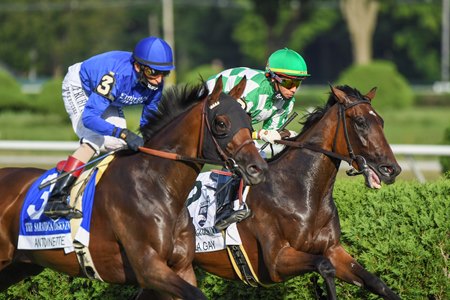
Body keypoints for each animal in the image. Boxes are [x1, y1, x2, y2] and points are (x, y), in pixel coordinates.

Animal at [0, 78, 268, 300]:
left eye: (249, 121)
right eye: (221, 123)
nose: (258, 168)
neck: (157, 186)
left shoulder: (180, 268)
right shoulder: (149, 267)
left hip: (20, 265)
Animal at [192, 85, 402, 298]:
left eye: (381, 121)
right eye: (360, 122)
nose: (391, 169)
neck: (301, 192)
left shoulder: (333, 249)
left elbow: (376, 282)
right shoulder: (276, 262)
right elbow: (325, 266)